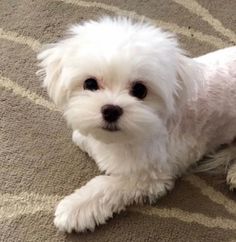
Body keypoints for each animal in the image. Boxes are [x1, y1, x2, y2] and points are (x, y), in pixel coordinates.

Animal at [37, 17, 236, 233]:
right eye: (90, 84)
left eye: (140, 90)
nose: (111, 110)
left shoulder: (151, 176)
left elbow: (107, 186)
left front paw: (76, 208)